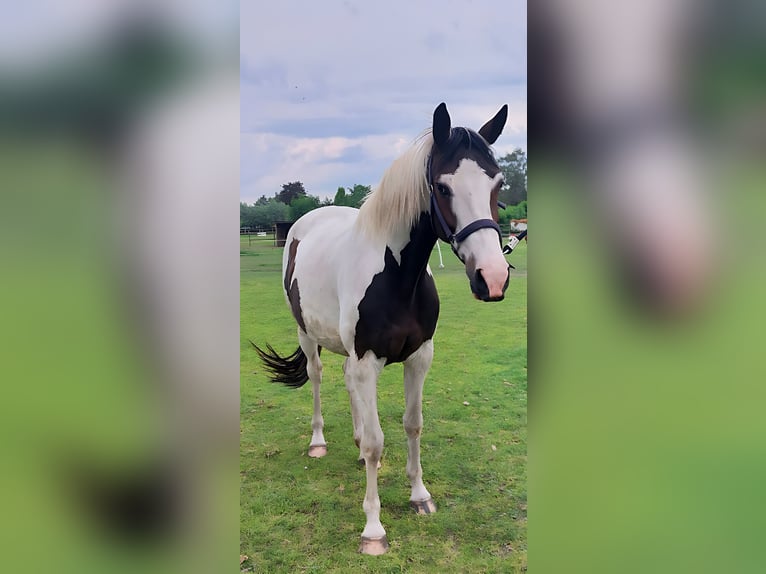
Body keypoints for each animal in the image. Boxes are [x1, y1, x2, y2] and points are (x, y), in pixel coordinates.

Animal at [255, 103, 512, 560]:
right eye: (442, 187)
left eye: (497, 183)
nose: (493, 277)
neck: (397, 277)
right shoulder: (367, 359)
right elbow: (379, 442)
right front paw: (373, 529)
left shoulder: (420, 357)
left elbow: (412, 424)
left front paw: (419, 495)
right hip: (308, 335)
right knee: (318, 378)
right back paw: (319, 441)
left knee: (347, 385)